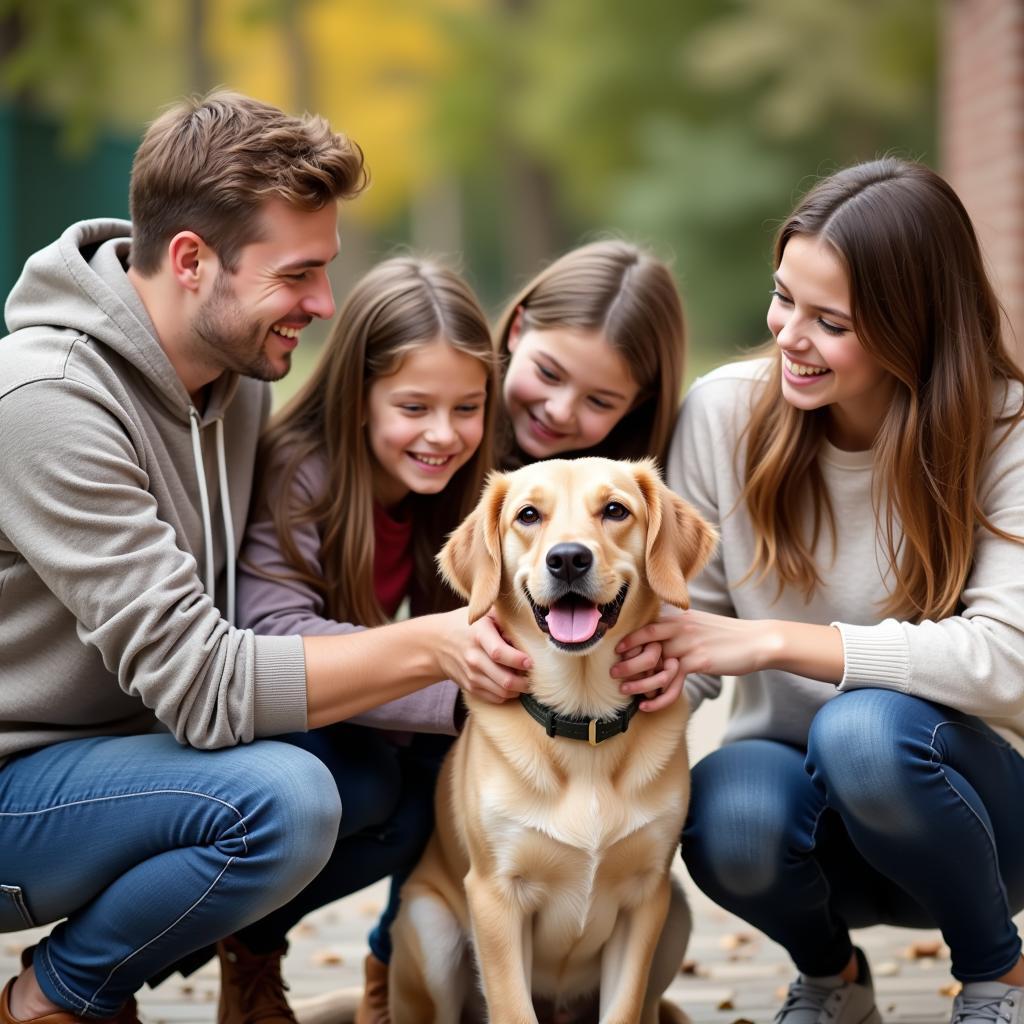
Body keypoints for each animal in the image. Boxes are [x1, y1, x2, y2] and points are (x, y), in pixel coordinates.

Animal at [387, 458, 716, 1024]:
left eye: (615, 510)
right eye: (528, 515)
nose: (567, 559)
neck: (582, 720)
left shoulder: (645, 899)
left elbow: (624, 1009)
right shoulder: (495, 897)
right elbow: (513, 1009)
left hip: (677, 915)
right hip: (431, 931)